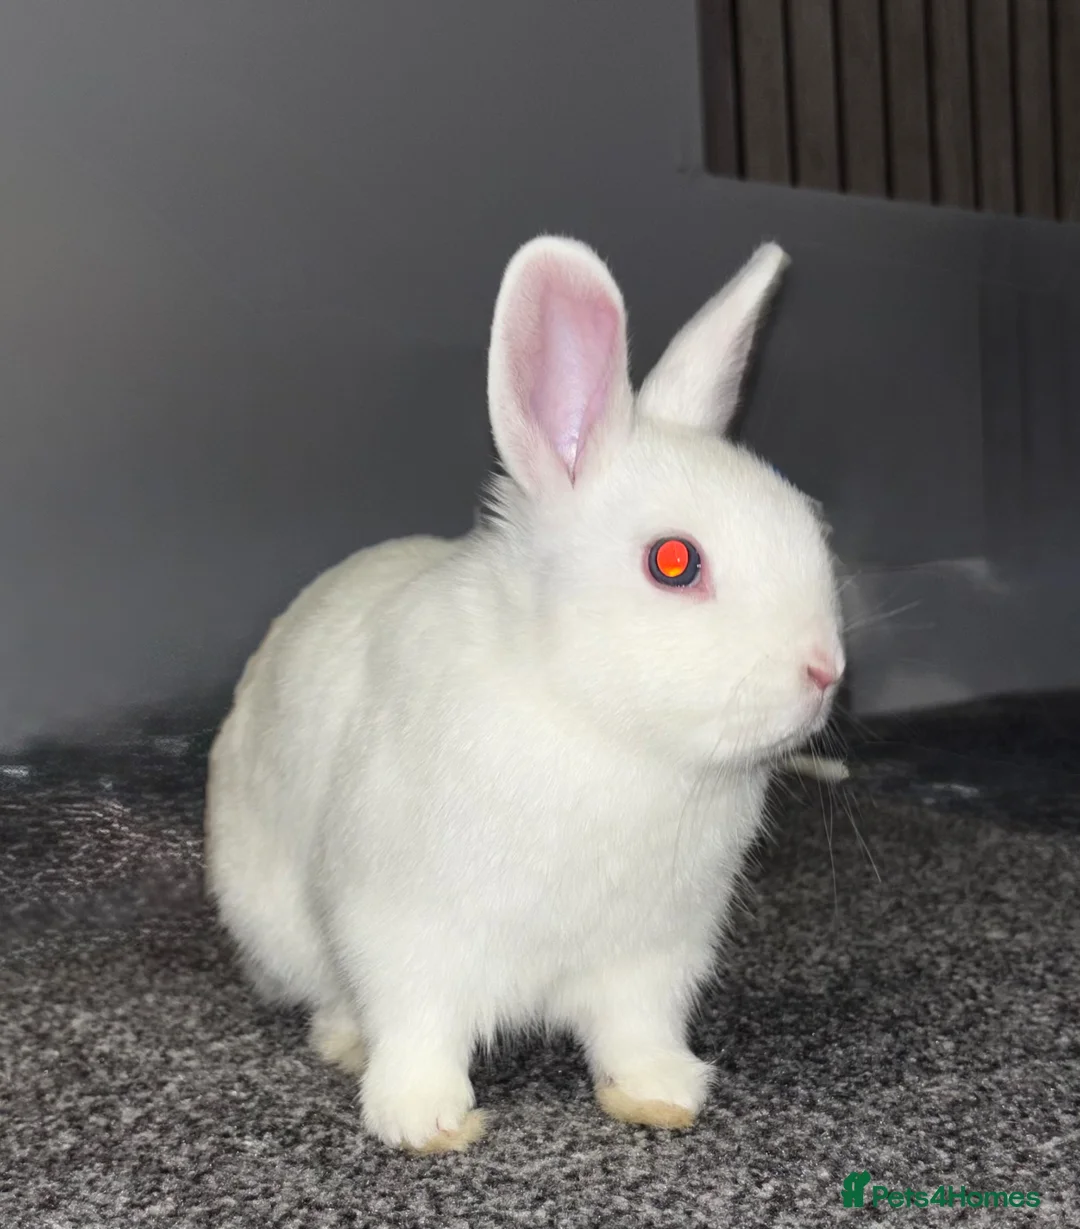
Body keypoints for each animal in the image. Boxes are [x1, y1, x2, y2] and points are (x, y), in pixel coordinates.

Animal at [204, 234, 845, 1154]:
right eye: (674, 561)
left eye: (810, 523)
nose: (825, 669)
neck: (599, 727)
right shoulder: (401, 927)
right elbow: (417, 1024)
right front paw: (425, 1121)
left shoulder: (654, 952)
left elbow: (637, 1030)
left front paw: (662, 1095)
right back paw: (343, 1038)